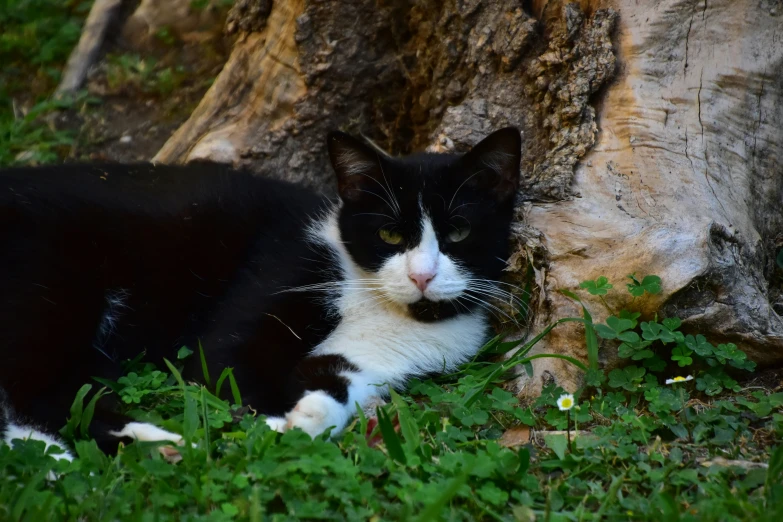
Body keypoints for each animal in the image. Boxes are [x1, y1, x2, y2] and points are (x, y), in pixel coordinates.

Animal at [1, 126, 528, 460]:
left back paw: (155, 444)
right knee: (27, 386)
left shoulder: (380, 356)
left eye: (458, 232)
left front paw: (306, 419)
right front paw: (265, 426)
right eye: (390, 235)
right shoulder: (280, 267)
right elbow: (224, 362)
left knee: (65, 396)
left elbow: (332, 379)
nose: (422, 276)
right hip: (52, 287)